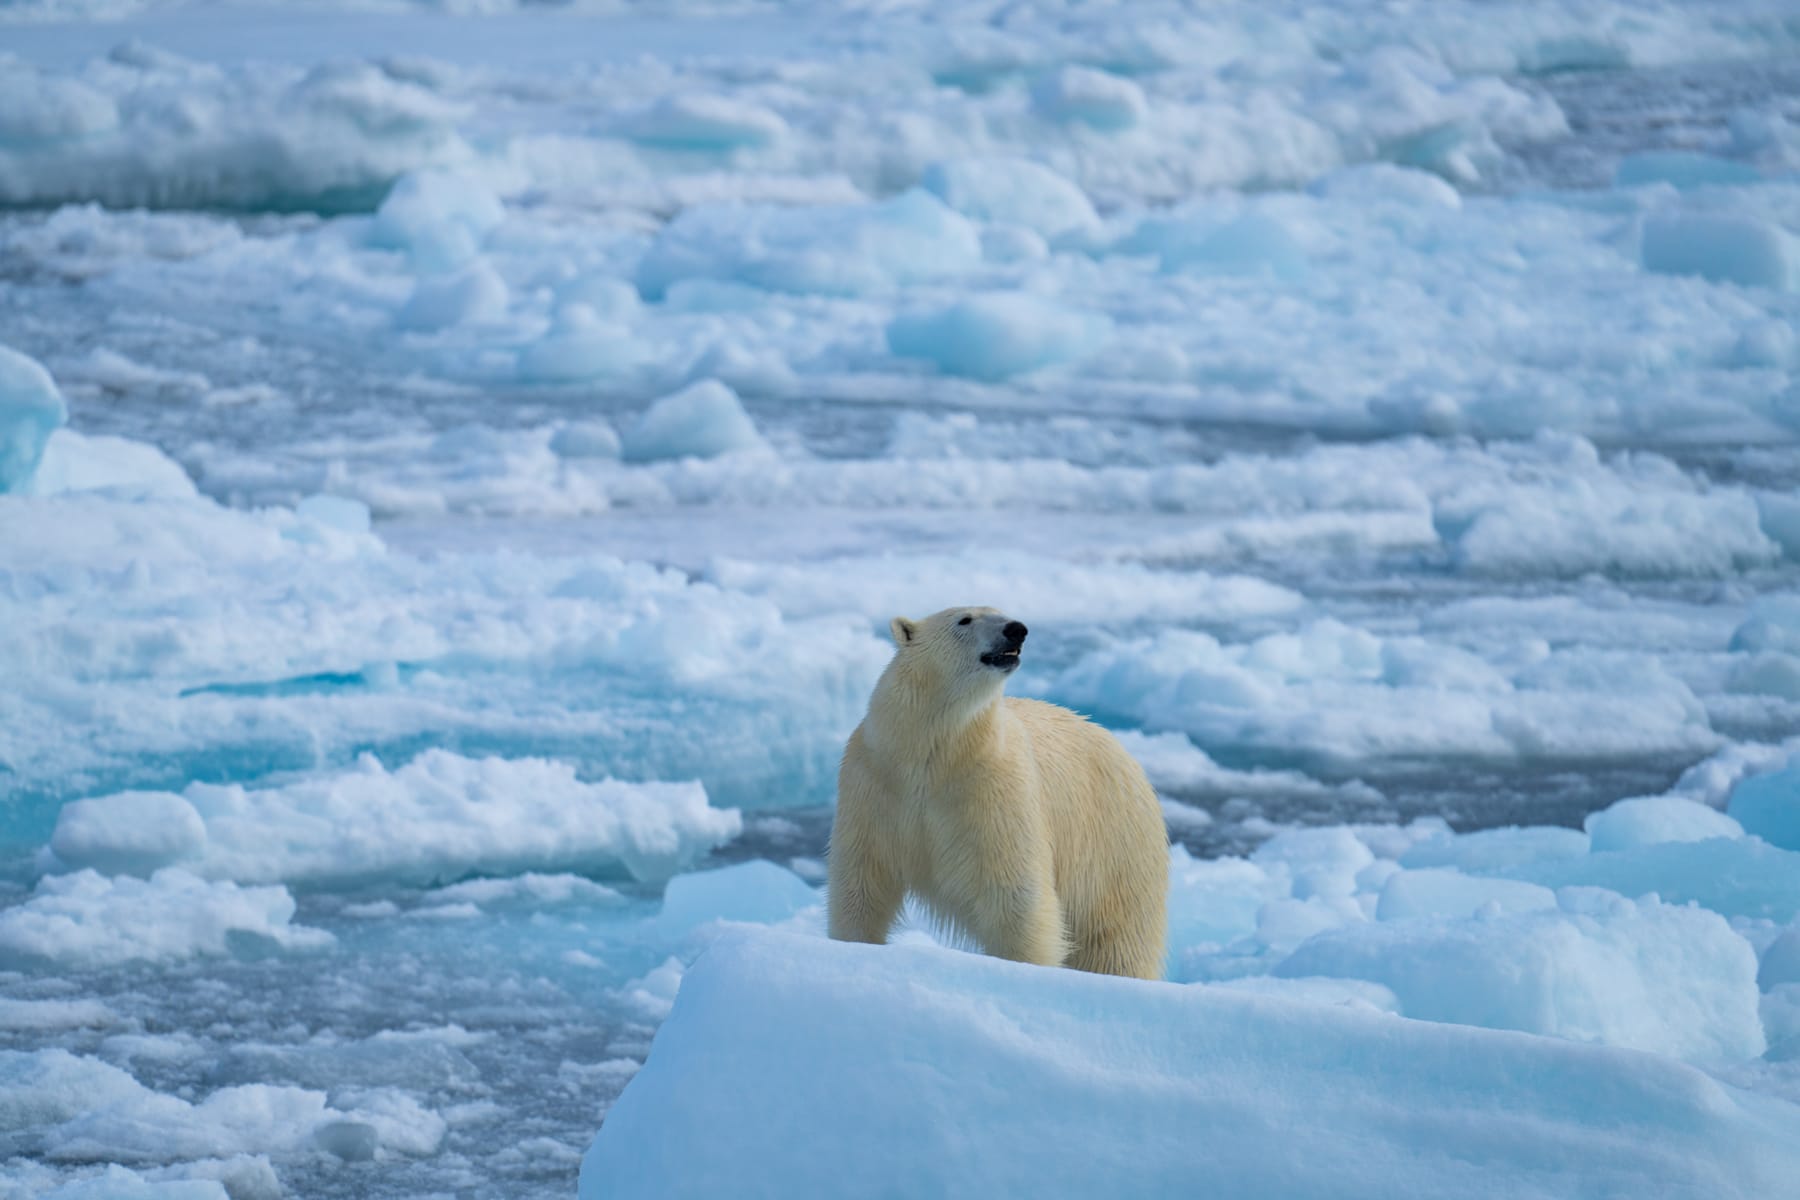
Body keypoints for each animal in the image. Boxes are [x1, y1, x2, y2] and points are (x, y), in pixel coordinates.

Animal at [828, 606, 1168, 980]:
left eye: (1002, 613)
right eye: (964, 619)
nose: (1016, 629)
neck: (932, 753)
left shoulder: (994, 790)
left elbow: (1014, 895)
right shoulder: (874, 785)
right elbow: (863, 881)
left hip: (1114, 850)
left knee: (1115, 944)